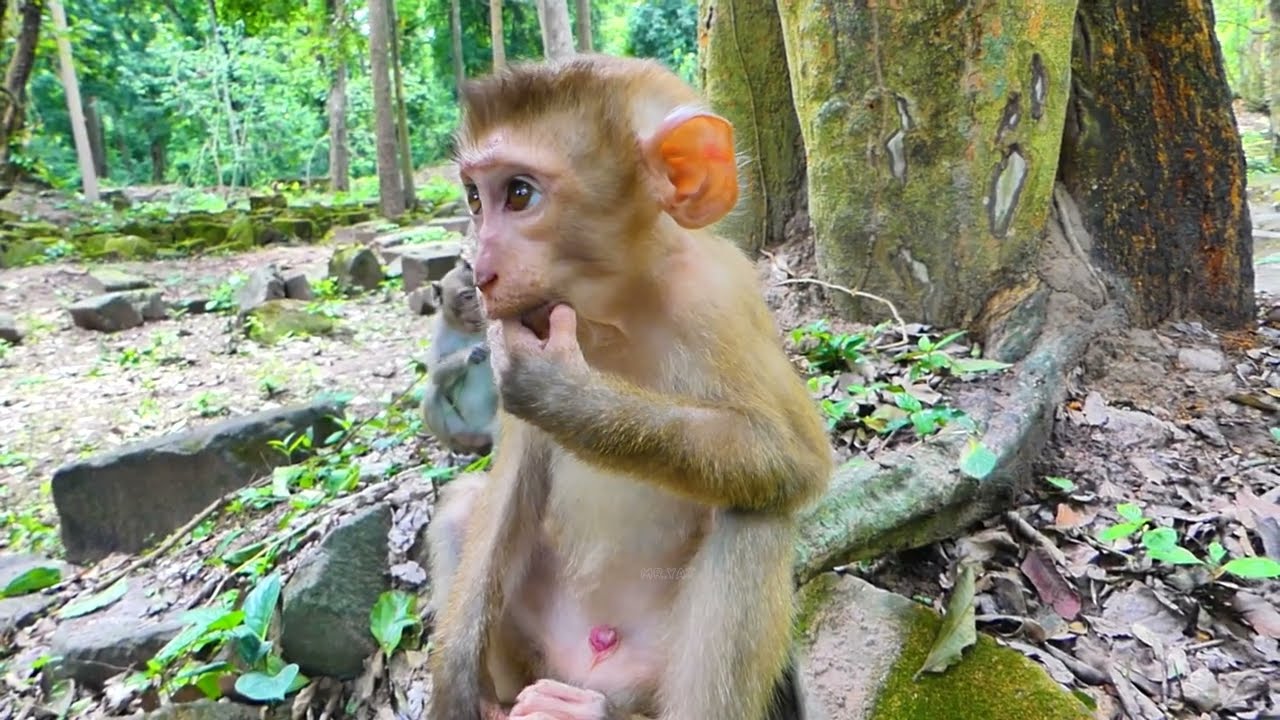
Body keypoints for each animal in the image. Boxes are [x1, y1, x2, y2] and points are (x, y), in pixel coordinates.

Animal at [421, 258, 499, 456]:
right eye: (468, 296)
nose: (481, 306)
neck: (466, 331)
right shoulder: (440, 332)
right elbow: (436, 373)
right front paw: (472, 353)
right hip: (459, 429)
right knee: (432, 393)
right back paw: (458, 450)